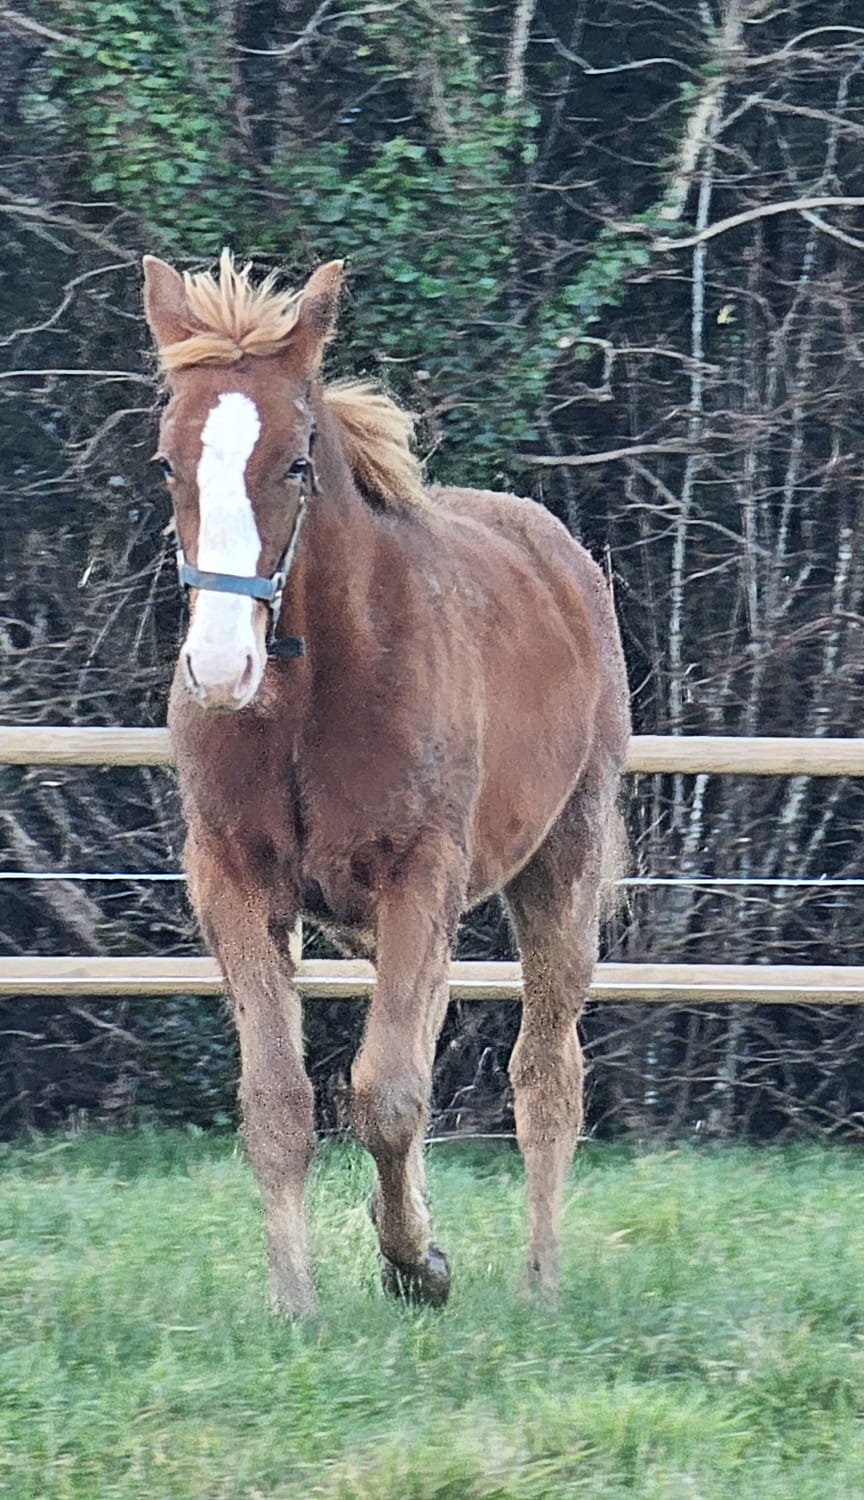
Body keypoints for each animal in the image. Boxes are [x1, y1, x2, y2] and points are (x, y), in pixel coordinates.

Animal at [142, 250, 630, 1315]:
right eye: (167, 462)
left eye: (294, 461)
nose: (220, 668)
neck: (307, 696)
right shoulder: (232, 881)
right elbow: (280, 1098)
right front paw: (294, 1301)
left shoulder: (421, 877)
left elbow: (389, 1093)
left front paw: (418, 1264)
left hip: (563, 862)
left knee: (546, 1073)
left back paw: (538, 1282)